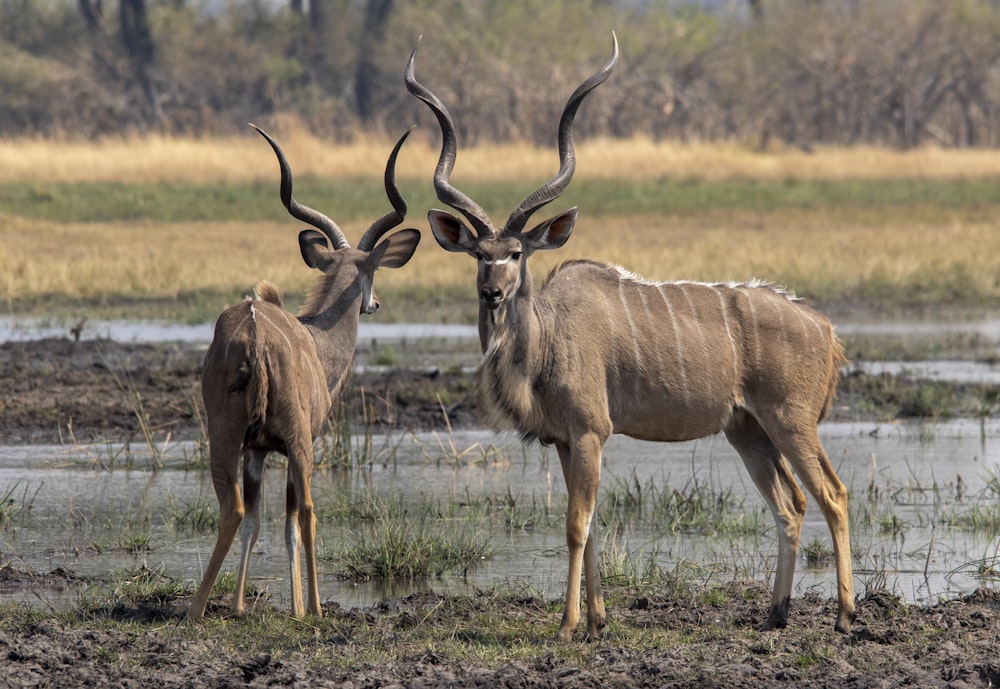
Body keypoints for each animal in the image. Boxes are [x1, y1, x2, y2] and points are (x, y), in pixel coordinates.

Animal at [186, 126, 420, 620]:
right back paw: (306, 606)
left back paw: (200, 606)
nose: (374, 303)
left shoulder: (257, 451)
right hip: (297, 442)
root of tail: (253, 330)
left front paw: (241, 605)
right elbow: (296, 519)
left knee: (236, 510)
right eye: (372, 271)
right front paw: (300, 607)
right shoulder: (299, 443)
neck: (314, 338)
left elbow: (259, 520)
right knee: (305, 511)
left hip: (225, 436)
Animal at [404, 36, 852, 640]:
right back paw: (774, 614)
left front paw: (568, 626)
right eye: (478, 254)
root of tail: (824, 328)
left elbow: (576, 524)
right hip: (748, 430)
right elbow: (589, 523)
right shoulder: (565, 440)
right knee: (792, 503)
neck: (548, 337)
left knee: (832, 493)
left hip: (791, 420)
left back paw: (846, 615)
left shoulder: (591, 432)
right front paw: (597, 621)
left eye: (516, 253)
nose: (492, 293)